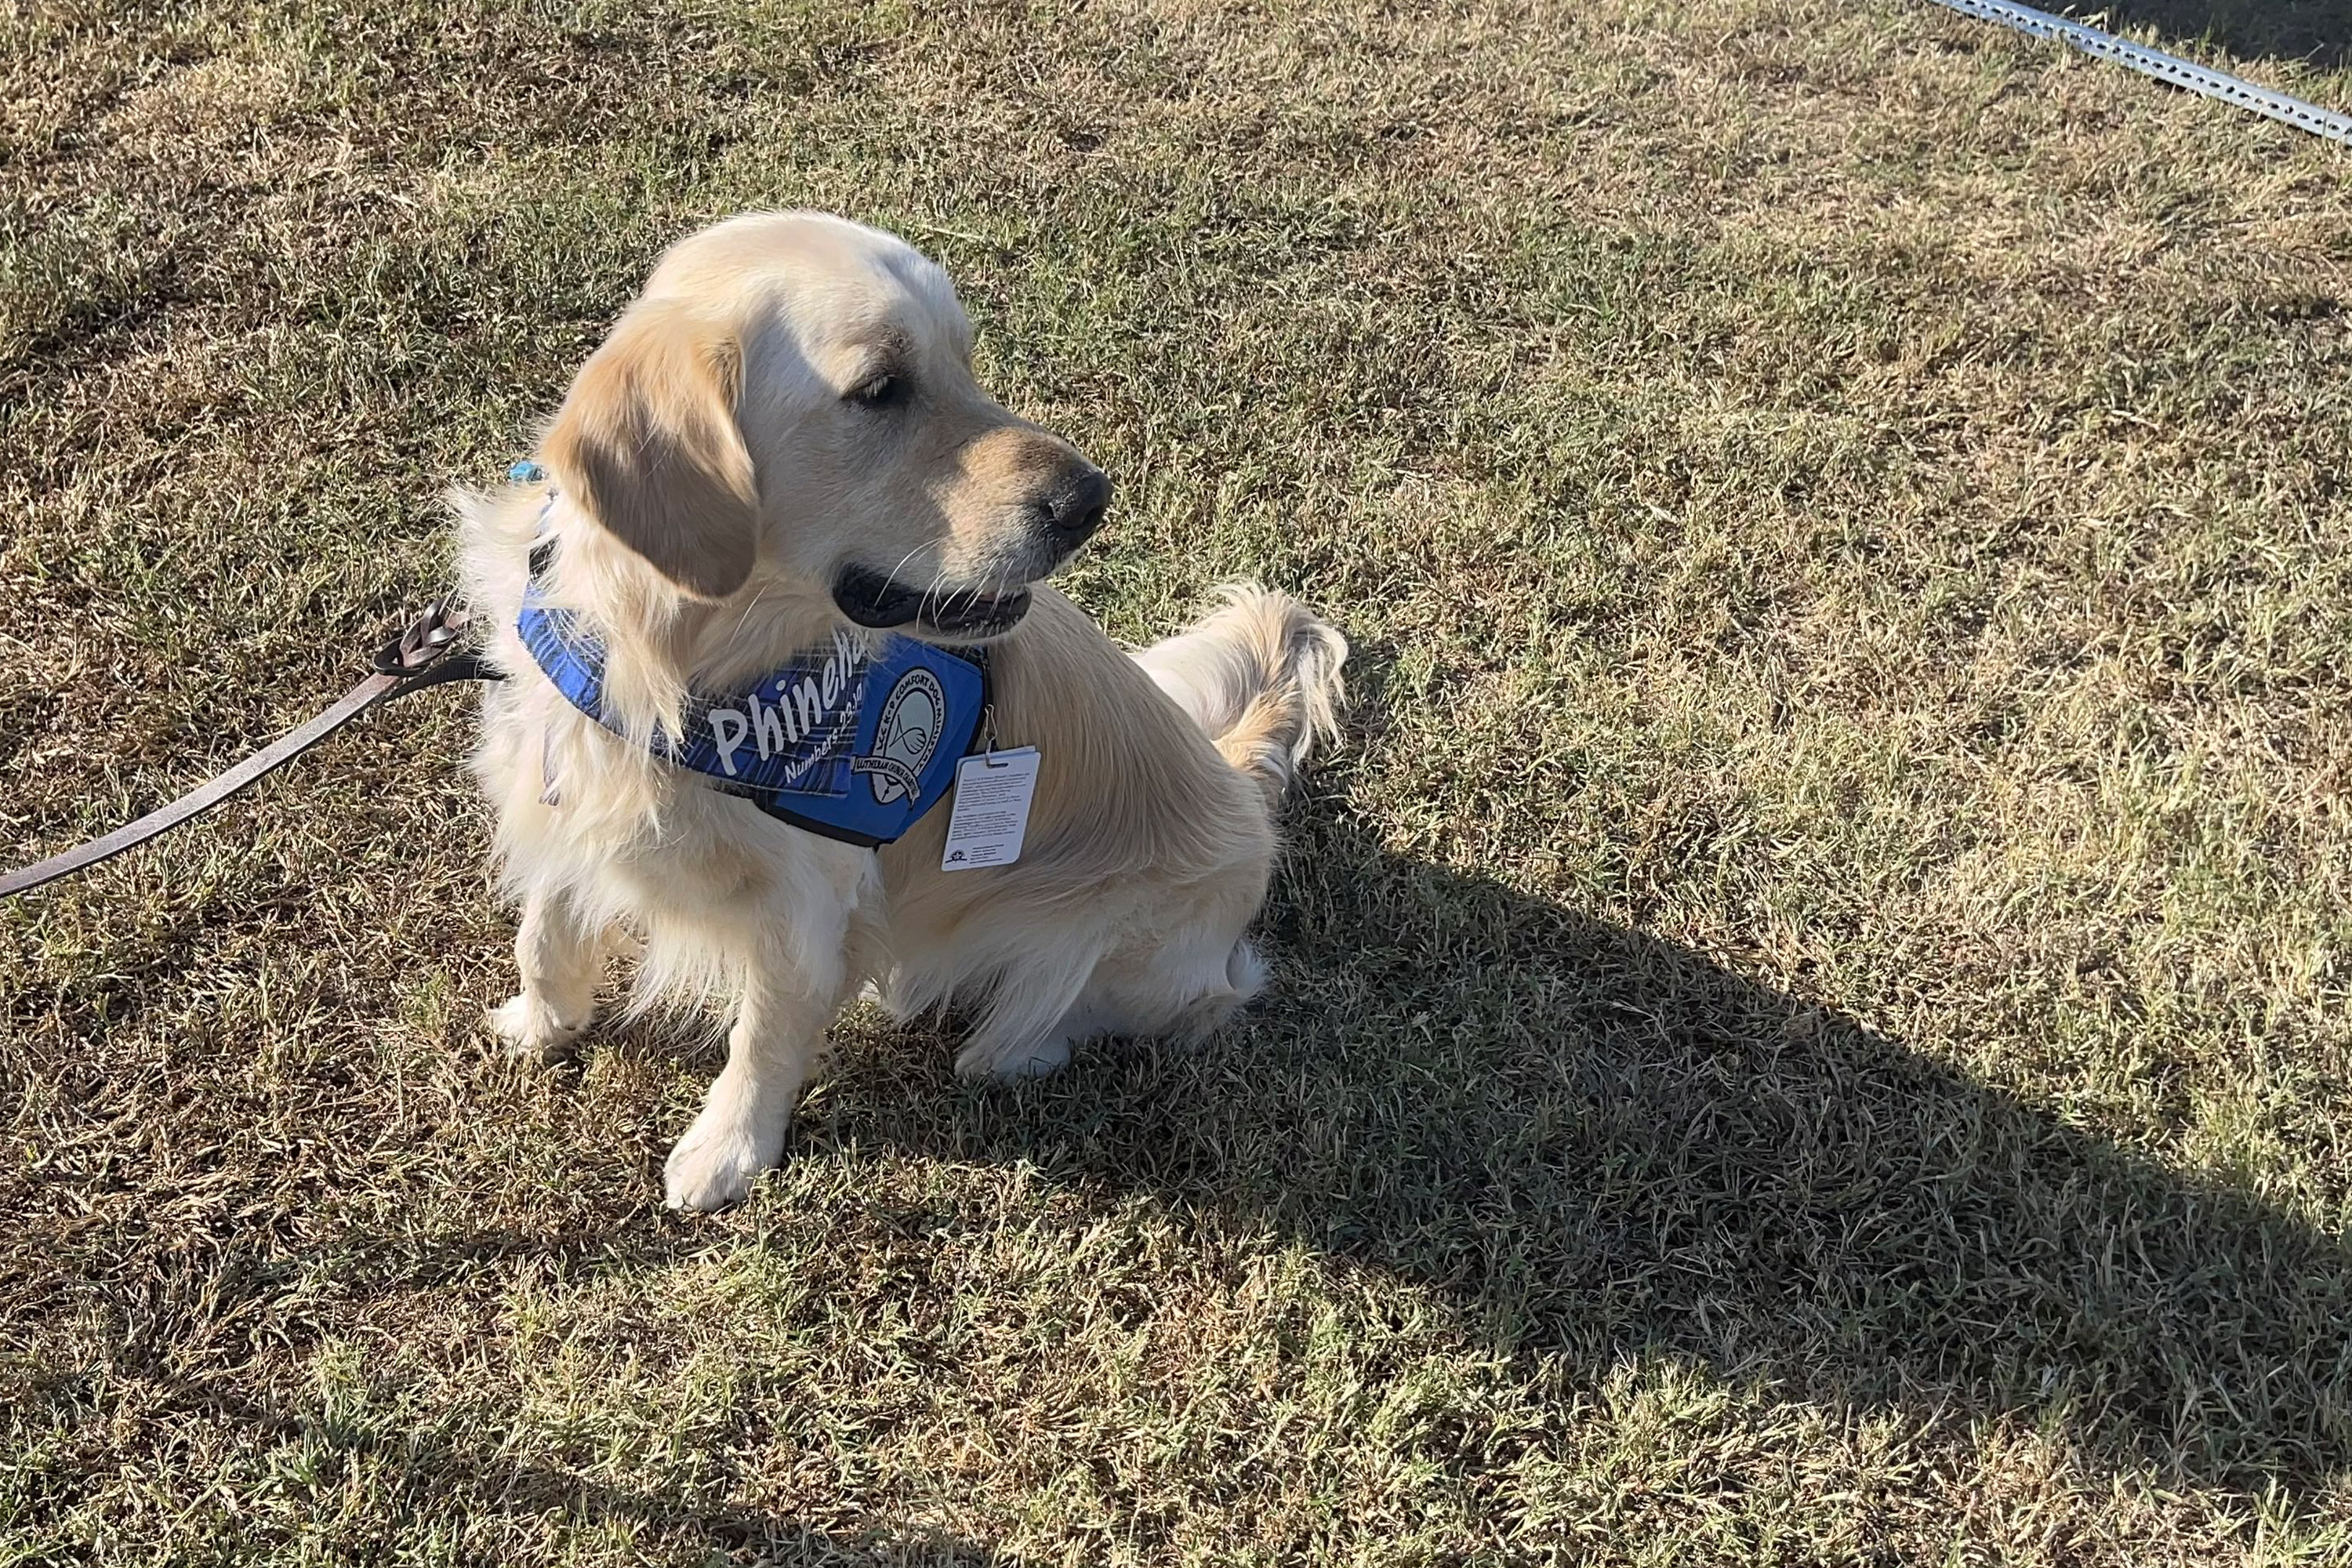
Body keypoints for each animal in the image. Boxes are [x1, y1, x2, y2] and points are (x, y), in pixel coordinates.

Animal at [452, 211, 1355, 1213]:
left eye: (966, 361)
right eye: (882, 389)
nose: (1090, 499)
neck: (696, 679)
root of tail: (1240, 783)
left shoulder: (805, 904)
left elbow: (763, 1035)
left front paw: (727, 1150)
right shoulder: (559, 789)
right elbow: (543, 930)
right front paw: (541, 1020)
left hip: (1111, 942)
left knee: (1146, 1003)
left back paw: (1014, 1043)